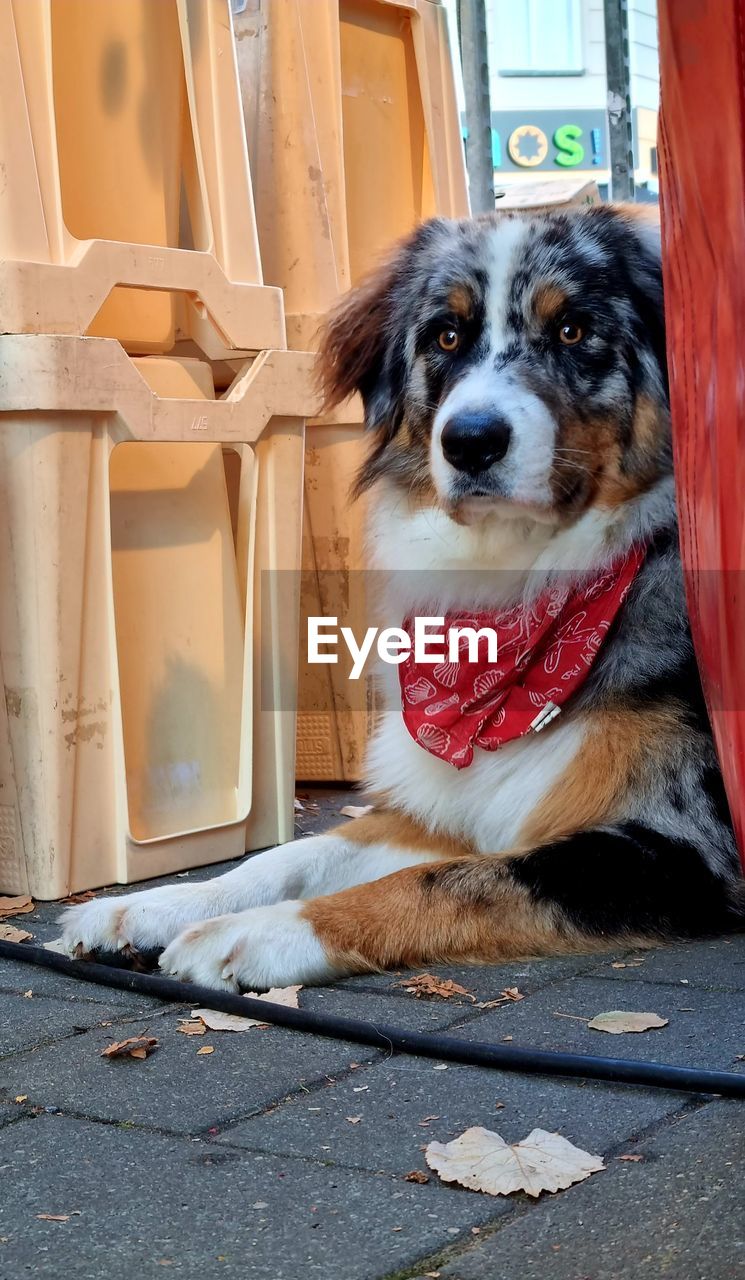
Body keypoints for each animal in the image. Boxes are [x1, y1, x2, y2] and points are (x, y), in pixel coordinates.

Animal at [61, 202, 742, 988]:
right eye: (445, 335)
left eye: (573, 329)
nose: (470, 442)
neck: (519, 592)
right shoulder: (440, 806)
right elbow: (291, 856)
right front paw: (157, 905)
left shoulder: (683, 849)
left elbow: (444, 883)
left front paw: (258, 932)